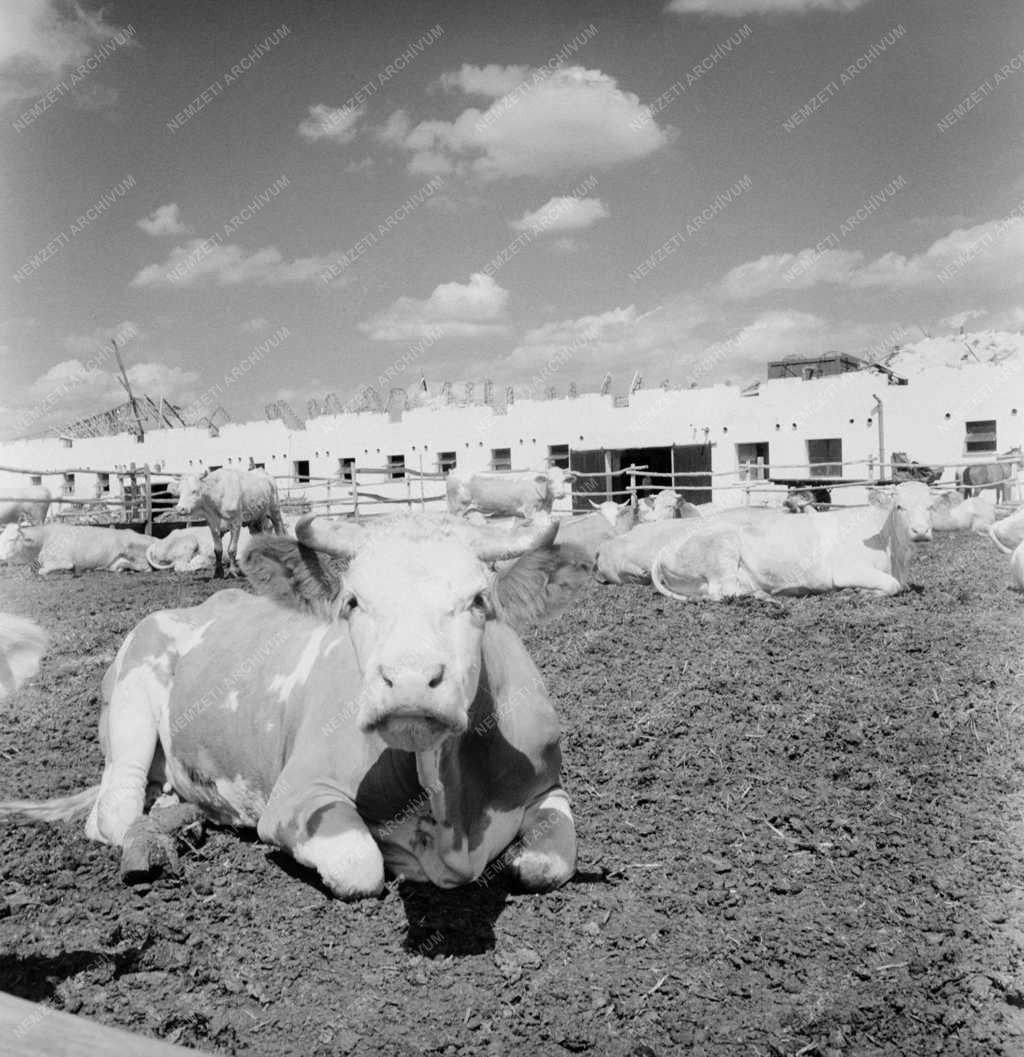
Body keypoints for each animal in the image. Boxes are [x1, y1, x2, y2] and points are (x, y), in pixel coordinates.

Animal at [443, 469, 574, 522]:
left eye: (563, 481)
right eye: (550, 480)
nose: (561, 494)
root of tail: (453, 473)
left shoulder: (546, 510)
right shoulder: (529, 509)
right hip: (456, 509)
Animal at [646, 481, 934, 604]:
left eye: (930, 505)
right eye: (899, 506)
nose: (920, 531)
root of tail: (664, 549)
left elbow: (901, 585)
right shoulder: (847, 569)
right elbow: (892, 585)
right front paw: (858, 592)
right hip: (723, 552)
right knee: (724, 592)